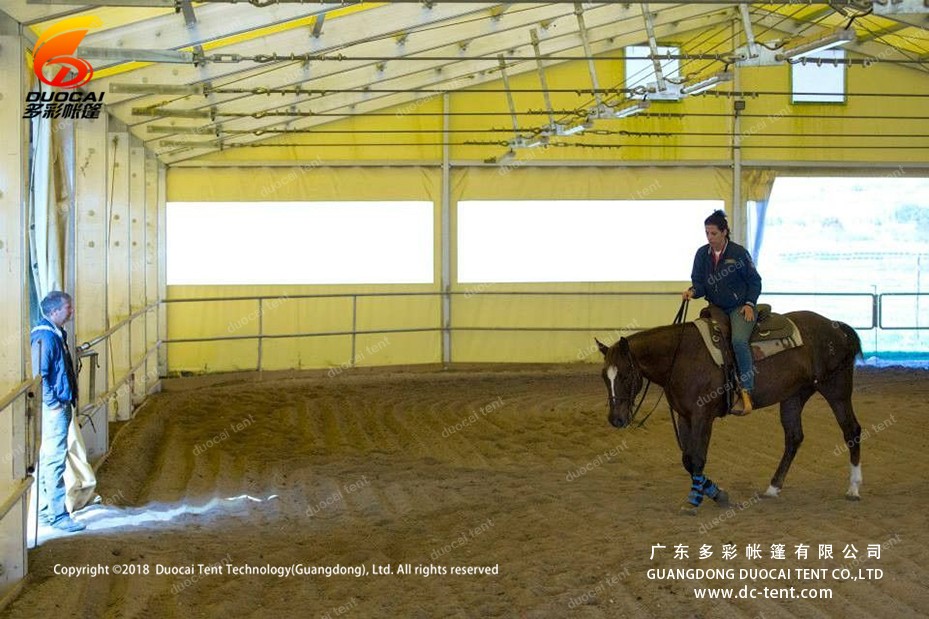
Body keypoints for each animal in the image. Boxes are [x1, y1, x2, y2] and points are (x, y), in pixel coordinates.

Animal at [596, 310, 864, 512]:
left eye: (626, 375)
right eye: (604, 376)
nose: (616, 419)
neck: (681, 357)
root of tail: (838, 327)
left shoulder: (702, 416)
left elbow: (698, 459)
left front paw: (695, 501)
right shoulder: (684, 416)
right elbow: (687, 460)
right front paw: (718, 494)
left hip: (836, 389)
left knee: (851, 430)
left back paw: (853, 488)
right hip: (794, 396)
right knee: (793, 438)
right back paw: (773, 488)